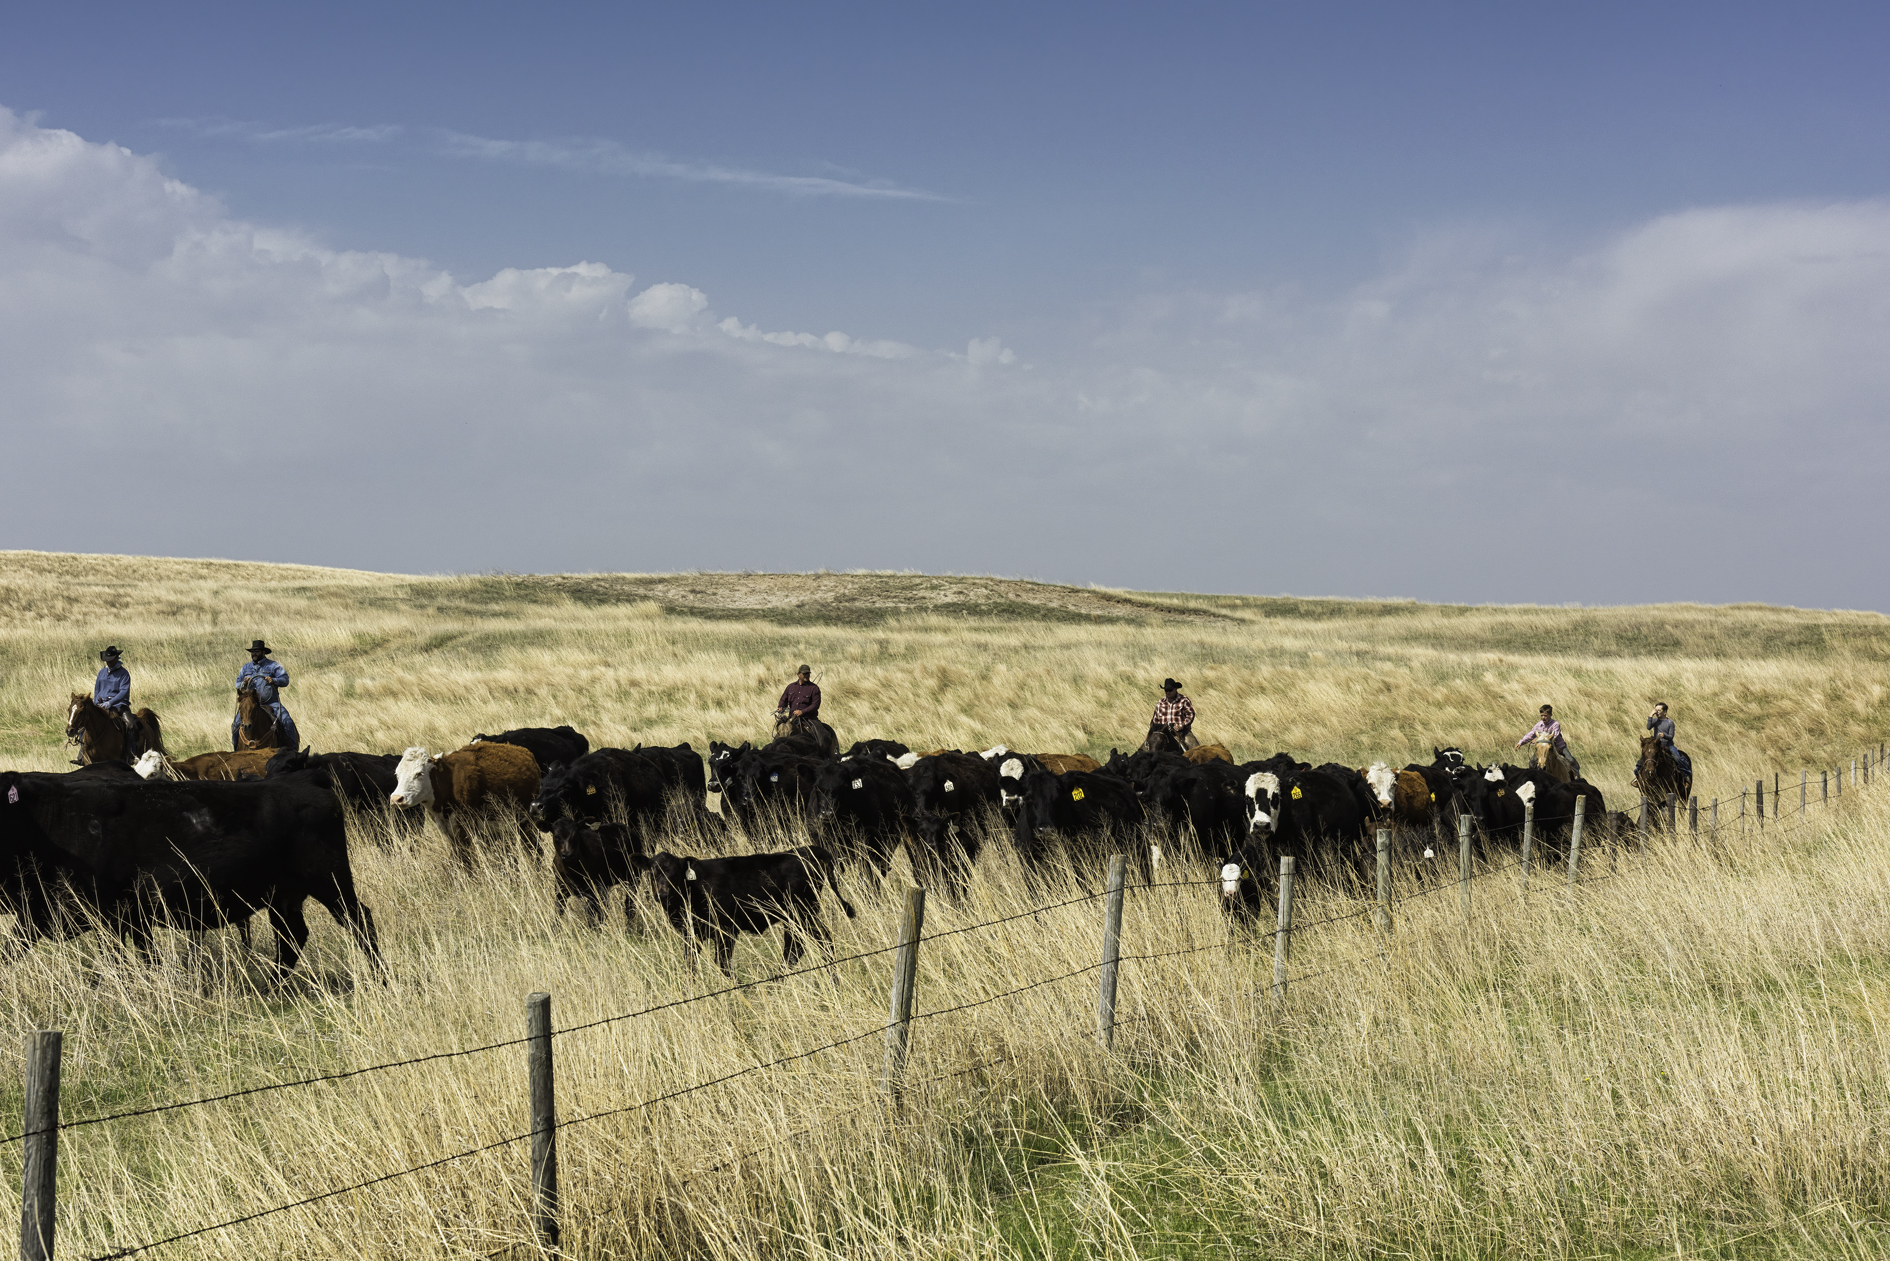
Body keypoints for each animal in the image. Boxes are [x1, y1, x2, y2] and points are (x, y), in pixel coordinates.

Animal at [0, 771, 379, 975]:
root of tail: (310, 783)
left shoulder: (110, 915)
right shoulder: (40, 913)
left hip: (331, 884)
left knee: (359, 921)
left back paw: (380, 979)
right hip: (283, 896)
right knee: (292, 937)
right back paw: (274, 986)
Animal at [391, 741, 540, 869]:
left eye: (419, 773)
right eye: (397, 775)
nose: (396, 798)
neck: (447, 782)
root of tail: (525, 752)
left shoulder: (464, 828)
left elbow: (465, 860)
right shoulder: (449, 832)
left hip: (528, 823)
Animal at [650, 846, 858, 975]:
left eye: (675, 873)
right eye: (652, 873)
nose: (662, 894)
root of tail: (806, 850)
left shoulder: (727, 929)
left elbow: (723, 963)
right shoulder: (692, 933)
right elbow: (690, 963)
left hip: (802, 913)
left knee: (816, 942)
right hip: (795, 917)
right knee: (797, 946)